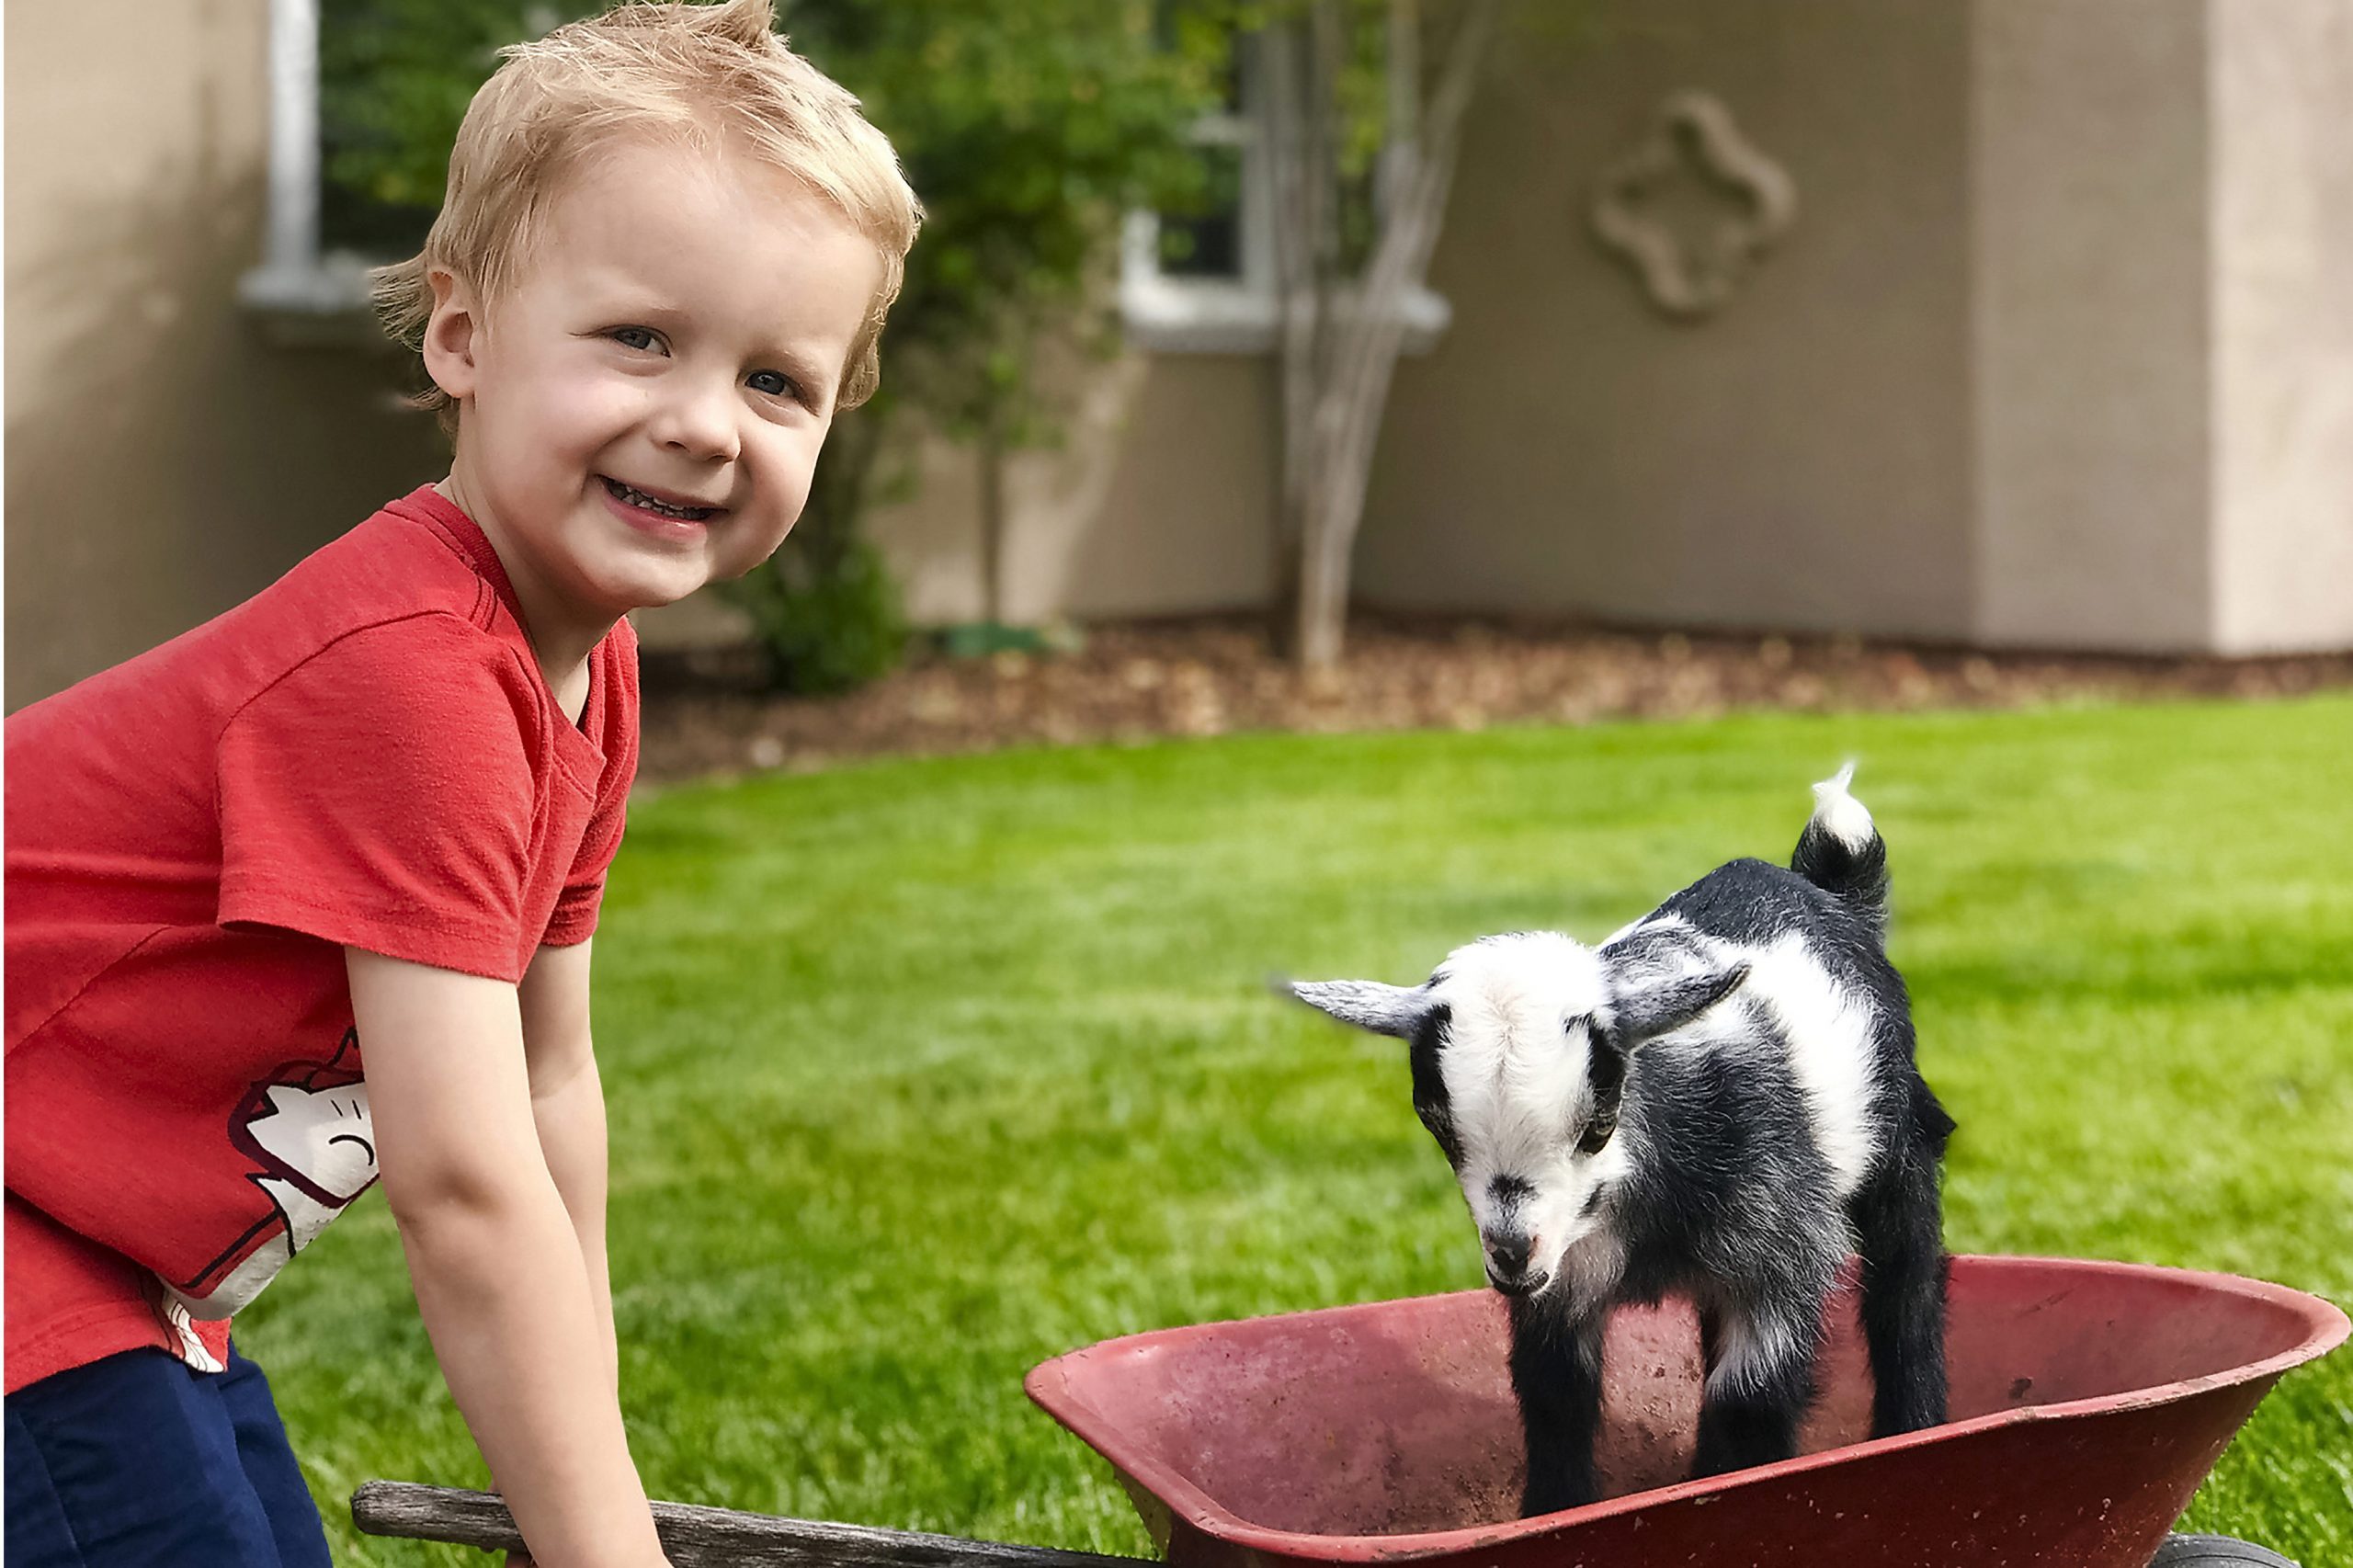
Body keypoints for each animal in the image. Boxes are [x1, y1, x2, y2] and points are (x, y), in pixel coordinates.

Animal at [1290, 766, 1953, 1516]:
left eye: (1599, 1122)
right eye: (1437, 1125)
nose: (1511, 1258)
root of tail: (1831, 890)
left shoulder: (1785, 1250)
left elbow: (1750, 1397)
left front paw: (1720, 1491)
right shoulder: (1561, 1278)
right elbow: (1555, 1394)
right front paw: (1553, 1512)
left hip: (1900, 1147)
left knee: (1906, 1289)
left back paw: (1914, 1427)